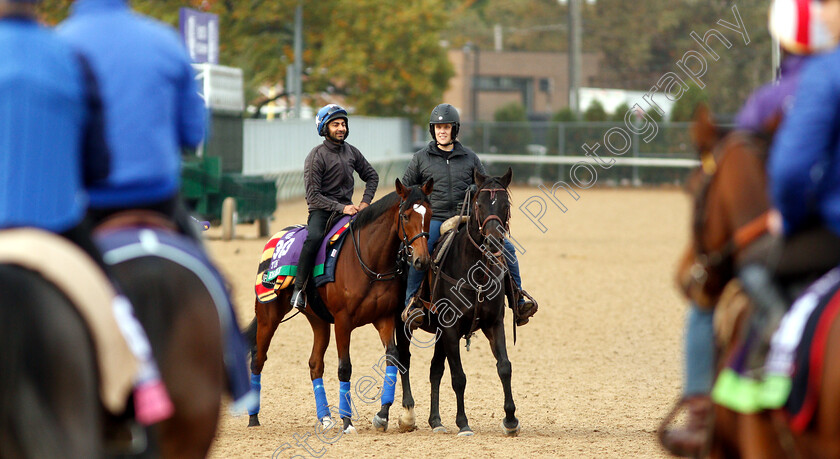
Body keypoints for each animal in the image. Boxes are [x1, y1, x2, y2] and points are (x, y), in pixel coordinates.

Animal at [244, 180, 434, 434]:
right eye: (405, 216)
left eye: (429, 214)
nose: (422, 260)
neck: (369, 263)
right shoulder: (343, 323)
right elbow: (345, 367)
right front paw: (347, 421)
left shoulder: (384, 318)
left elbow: (393, 358)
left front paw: (382, 414)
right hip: (268, 315)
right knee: (258, 357)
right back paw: (253, 417)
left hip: (319, 321)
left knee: (315, 364)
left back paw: (325, 418)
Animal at [396, 169, 520, 438]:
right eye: (479, 204)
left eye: (505, 205)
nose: (494, 242)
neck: (476, 274)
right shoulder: (451, 329)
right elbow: (458, 377)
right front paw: (463, 423)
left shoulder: (494, 324)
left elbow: (505, 367)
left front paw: (510, 419)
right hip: (401, 324)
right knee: (403, 360)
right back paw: (405, 416)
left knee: (434, 370)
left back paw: (436, 421)